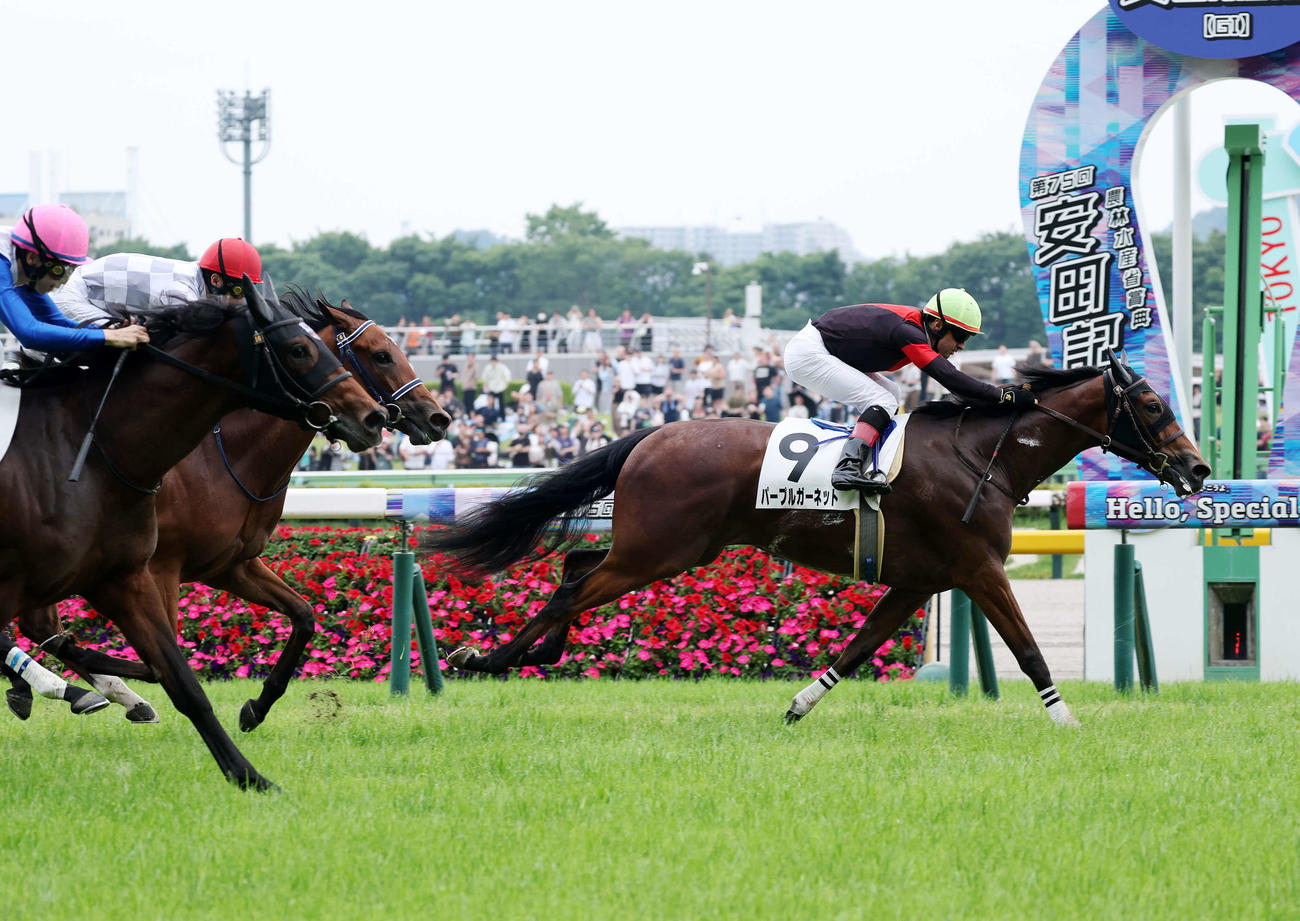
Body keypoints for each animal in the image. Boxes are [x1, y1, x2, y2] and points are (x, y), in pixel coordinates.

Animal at [0, 279, 387, 790]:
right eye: (381, 354)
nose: (376, 418)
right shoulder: (160, 567)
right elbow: (165, 660)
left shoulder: (226, 564)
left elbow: (301, 616)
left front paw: (252, 715)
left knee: (38, 629)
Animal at [425, 352, 1210, 727]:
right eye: (1150, 404)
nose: (1200, 468)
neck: (981, 457)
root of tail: (652, 432)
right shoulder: (980, 568)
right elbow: (1027, 648)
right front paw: (1068, 718)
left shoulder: (920, 579)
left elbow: (859, 647)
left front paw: (800, 705)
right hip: (660, 550)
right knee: (573, 587)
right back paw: (486, 657)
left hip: (665, 548)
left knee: (573, 567)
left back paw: (526, 653)